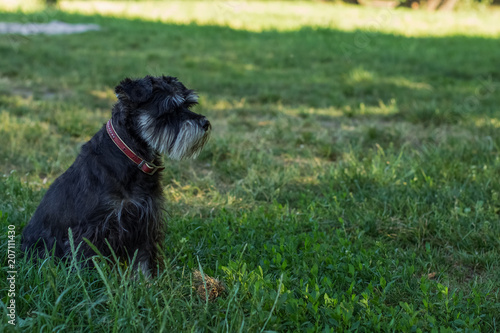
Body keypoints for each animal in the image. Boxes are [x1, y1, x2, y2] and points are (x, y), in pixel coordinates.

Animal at [21, 75, 211, 274]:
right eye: (169, 109)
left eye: (188, 105)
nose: (205, 123)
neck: (132, 155)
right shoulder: (94, 228)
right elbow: (89, 259)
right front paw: (92, 279)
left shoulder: (146, 220)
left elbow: (143, 257)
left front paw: (145, 279)